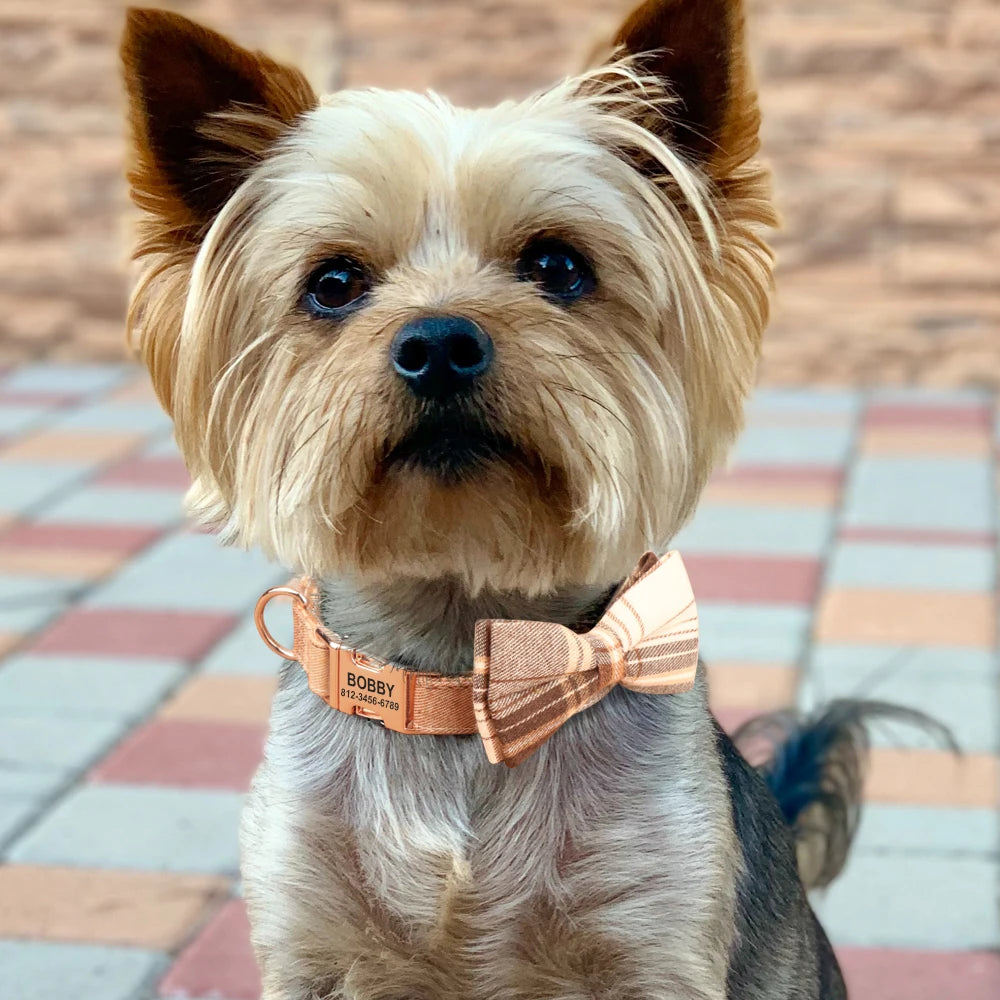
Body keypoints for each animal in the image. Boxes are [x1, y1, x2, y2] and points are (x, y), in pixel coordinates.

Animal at [121, 3, 888, 996]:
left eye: (559, 266)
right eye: (332, 284)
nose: (439, 343)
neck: (467, 682)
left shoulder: (653, 927)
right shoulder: (307, 933)